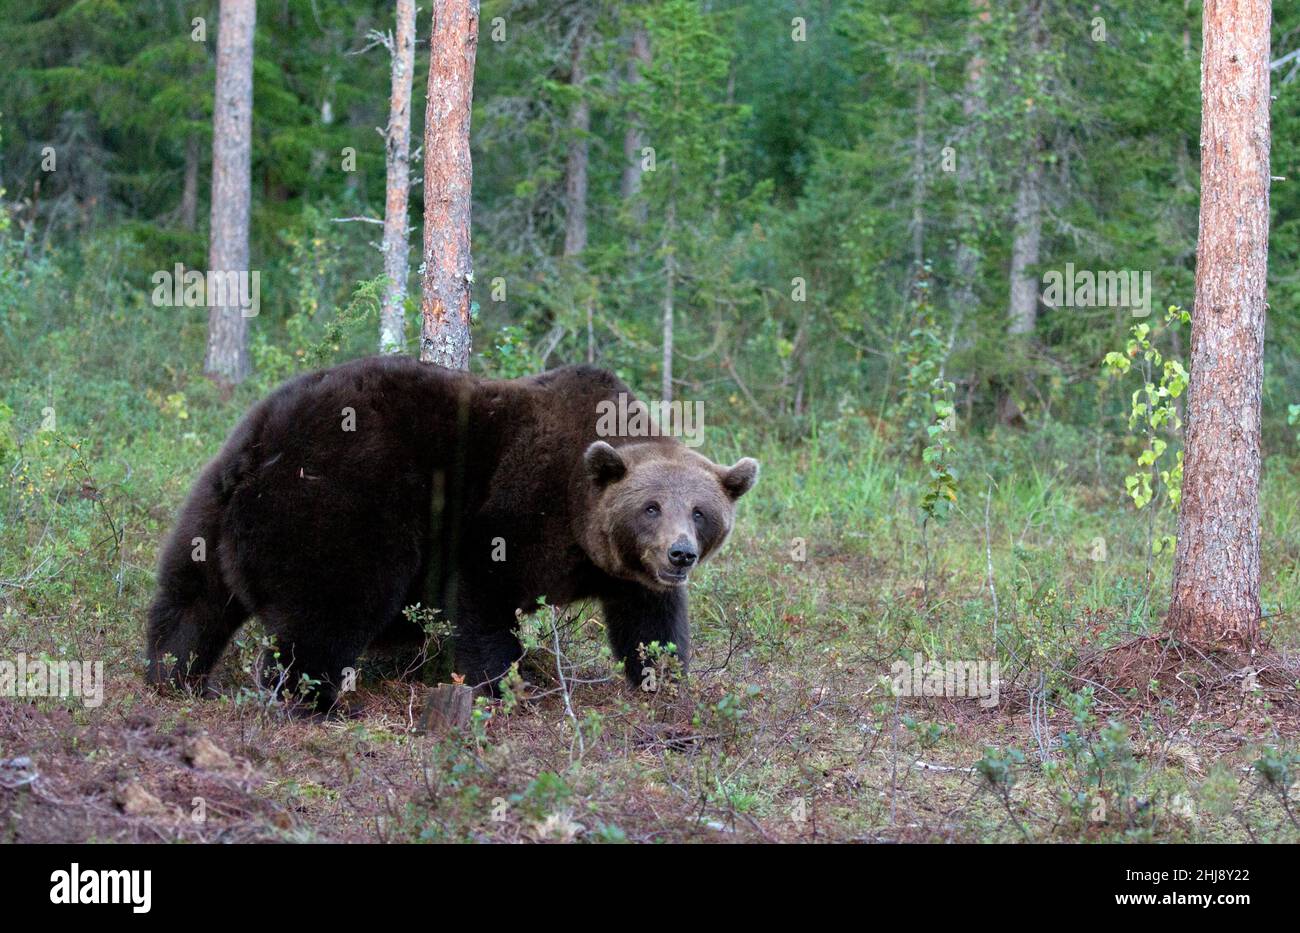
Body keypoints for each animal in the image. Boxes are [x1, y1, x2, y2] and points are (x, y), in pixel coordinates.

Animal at [143, 353, 759, 712]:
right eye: (651, 507)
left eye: (700, 512)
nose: (679, 555)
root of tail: (264, 444)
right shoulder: (516, 507)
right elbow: (484, 597)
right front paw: (506, 684)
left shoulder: (628, 573)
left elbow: (650, 625)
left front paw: (665, 680)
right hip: (339, 498)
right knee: (332, 605)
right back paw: (310, 698)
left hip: (210, 502)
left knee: (191, 599)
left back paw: (174, 676)